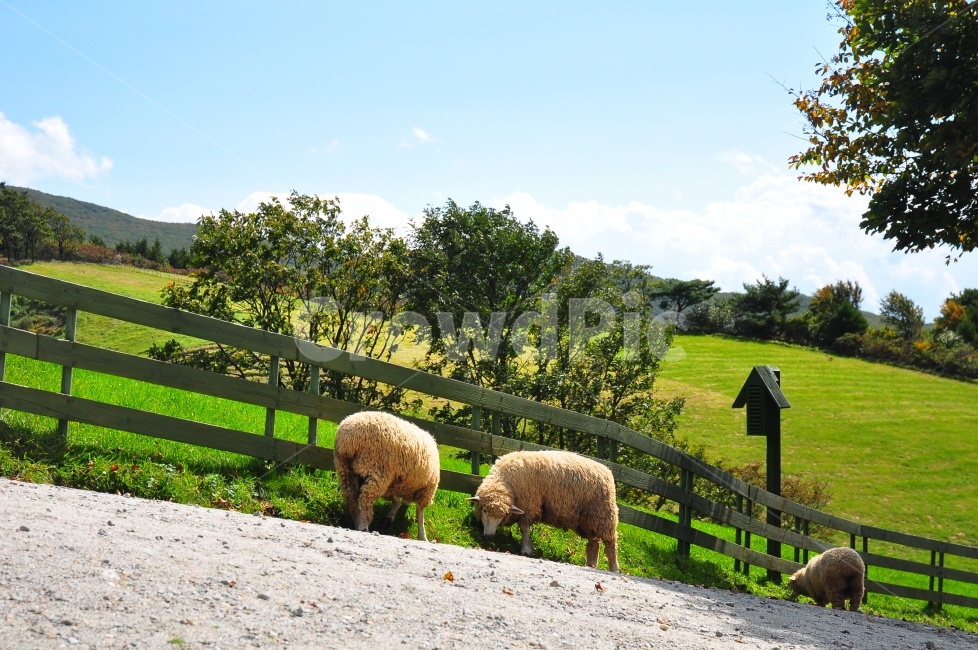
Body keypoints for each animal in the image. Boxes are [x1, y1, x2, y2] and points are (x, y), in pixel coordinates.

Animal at [333, 411, 440, 541]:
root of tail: (347, 440)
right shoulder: (426, 489)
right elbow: (420, 513)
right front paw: (423, 536)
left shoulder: (392, 484)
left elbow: (396, 501)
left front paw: (390, 516)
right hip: (377, 470)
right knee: (365, 499)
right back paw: (364, 527)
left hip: (344, 469)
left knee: (351, 499)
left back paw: (358, 523)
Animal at [468, 450, 619, 572]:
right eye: (485, 510)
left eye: (502, 515)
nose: (489, 536)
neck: (506, 481)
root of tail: (607, 471)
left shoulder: (530, 505)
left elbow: (524, 528)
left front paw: (526, 549)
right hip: (588, 521)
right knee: (594, 543)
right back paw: (591, 565)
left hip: (604, 516)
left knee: (610, 544)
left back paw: (614, 568)